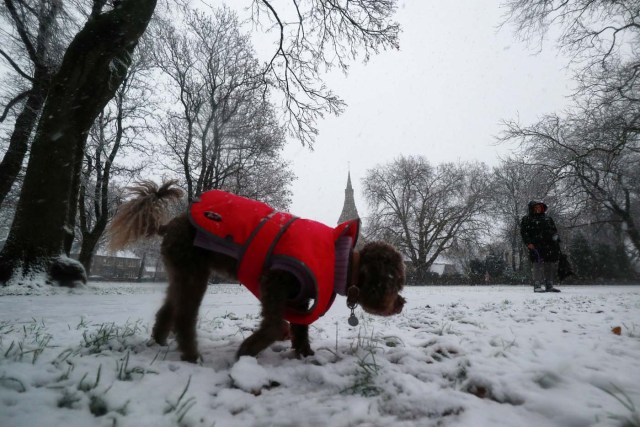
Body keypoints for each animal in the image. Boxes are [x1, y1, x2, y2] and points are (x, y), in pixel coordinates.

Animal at [107, 182, 402, 362]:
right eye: (395, 282)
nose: (401, 303)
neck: (341, 258)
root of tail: (169, 224)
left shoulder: (300, 297)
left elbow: (300, 328)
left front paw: (306, 354)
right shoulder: (275, 281)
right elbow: (276, 324)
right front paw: (248, 349)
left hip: (181, 272)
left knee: (168, 310)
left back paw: (159, 342)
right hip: (193, 273)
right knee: (183, 318)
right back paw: (191, 355)